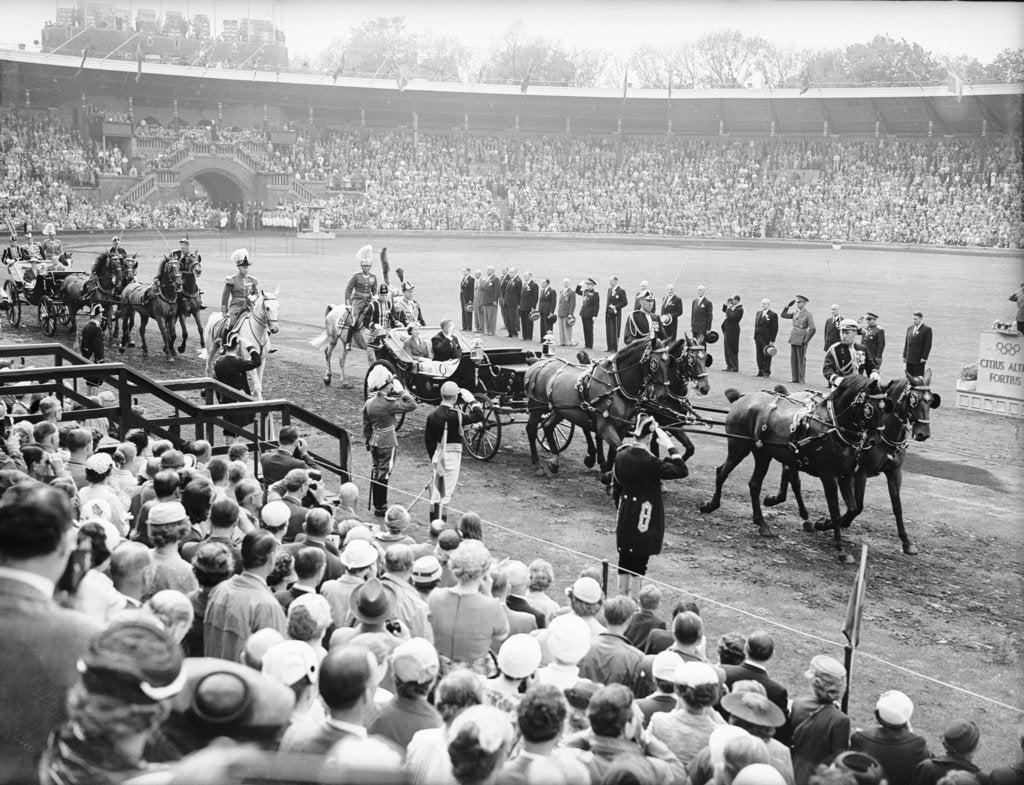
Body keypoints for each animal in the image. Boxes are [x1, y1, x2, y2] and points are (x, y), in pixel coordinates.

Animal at [528, 337, 712, 478]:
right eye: (654, 363)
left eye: (669, 363)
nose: (705, 387)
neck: (617, 384)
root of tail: (539, 363)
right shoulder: (608, 424)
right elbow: (624, 449)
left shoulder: (627, 426)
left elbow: (689, 447)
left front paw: (609, 472)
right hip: (539, 406)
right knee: (532, 428)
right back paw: (538, 465)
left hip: (564, 410)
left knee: (548, 425)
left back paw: (555, 461)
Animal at [700, 372, 892, 560]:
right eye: (870, 408)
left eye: (885, 409)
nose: (875, 440)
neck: (833, 427)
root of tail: (743, 398)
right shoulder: (829, 476)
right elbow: (835, 511)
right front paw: (840, 548)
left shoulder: (847, 475)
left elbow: (853, 509)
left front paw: (824, 524)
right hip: (739, 447)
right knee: (722, 473)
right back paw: (712, 505)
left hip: (763, 454)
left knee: (754, 484)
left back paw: (762, 523)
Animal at [765, 372, 937, 556]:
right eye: (914, 400)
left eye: (930, 401)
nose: (923, 433)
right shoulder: (859, 473)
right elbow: (857, 506)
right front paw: (827, 523)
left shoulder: (894, 472)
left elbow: (897, 507)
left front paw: (906, 541)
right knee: (794, 479)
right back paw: (797, 512)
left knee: (789, 474)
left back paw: (787, 505)